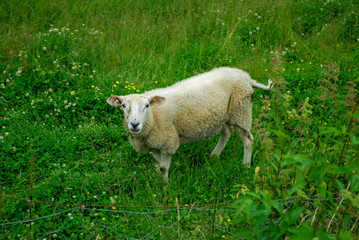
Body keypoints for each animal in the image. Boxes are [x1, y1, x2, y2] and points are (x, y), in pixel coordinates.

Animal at [108, 67, 272, 182]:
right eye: (123, 106)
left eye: (147, 105)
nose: (134, 124)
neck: (154, 118)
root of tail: (246, 77)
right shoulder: (154, 145)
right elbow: (158, 164)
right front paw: (156, 179)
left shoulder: (168, 143)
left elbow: (163, 168)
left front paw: (164, 187)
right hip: (224, 115)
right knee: (227, 132)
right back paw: (214, 156)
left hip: (241, 112)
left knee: (248, 140)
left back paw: (245, 165)